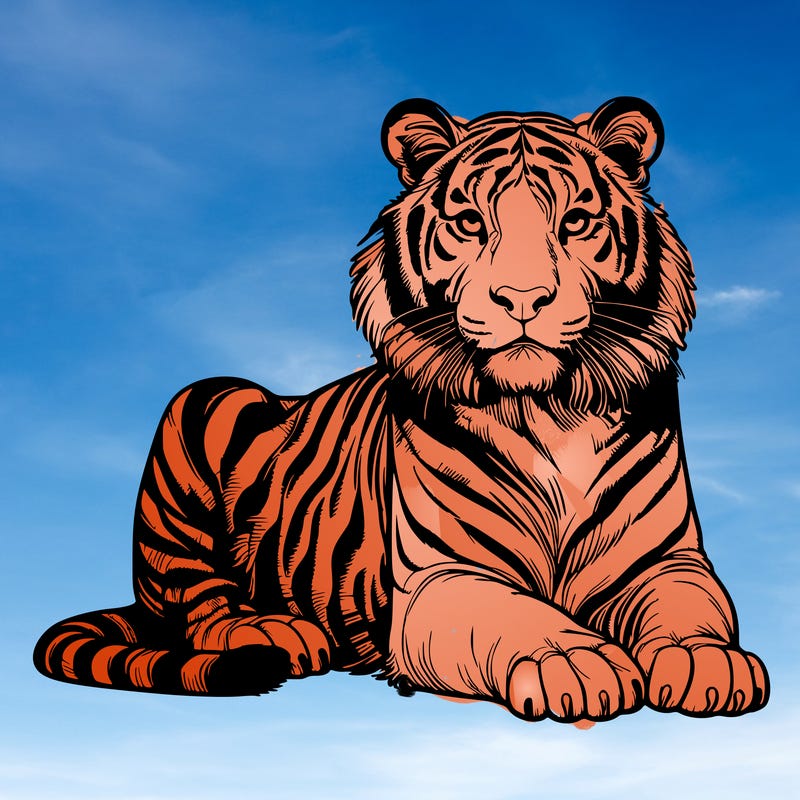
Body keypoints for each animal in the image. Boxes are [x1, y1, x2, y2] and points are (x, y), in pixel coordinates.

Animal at [34, 96, 769, 722]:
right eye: (470, 222)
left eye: (576, 223)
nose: (523, 298)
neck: (550, 411)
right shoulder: (444, 578)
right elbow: (517, 615)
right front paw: (575, 660)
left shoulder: (669, 559)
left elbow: (692, 607)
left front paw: (709, 662)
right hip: (205, 401)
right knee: (199, 603)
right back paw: (273, 631)